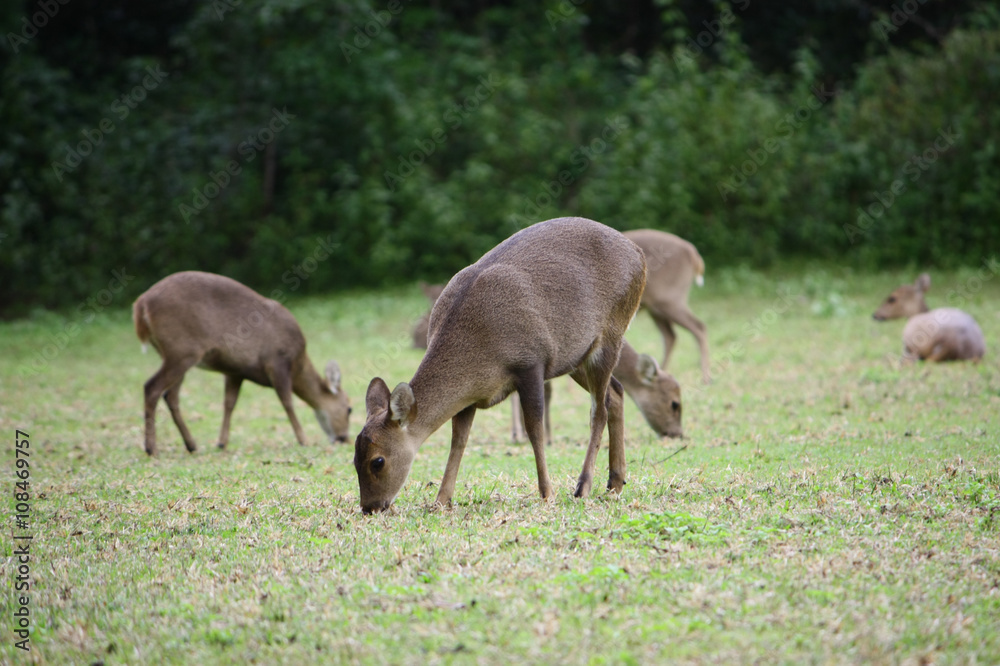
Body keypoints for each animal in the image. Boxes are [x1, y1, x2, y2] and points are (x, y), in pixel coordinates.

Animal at [133, 268, 352, 452]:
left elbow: (229, 403)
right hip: (181, 351)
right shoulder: (277, 361)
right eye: (349, 408)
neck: (298, 363)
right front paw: (303, 440)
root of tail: (141, 304)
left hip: (175, 354)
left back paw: (191, 445)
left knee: (171, 395)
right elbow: (287, 401)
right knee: (152, 387)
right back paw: (151, 448)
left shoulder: (235, 371)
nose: (344, 438)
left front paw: (221, 442)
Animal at [354, 215, 648, 510]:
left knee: (598, 409)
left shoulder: (531, 362)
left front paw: (547, 493)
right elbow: (459, 439)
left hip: (612, 331)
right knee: (616, 392)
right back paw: (615, 482)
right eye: (354, 460)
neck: (481, 358)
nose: (370, 507)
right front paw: (442, 499)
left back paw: (583, 485)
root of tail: (639, 255)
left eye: (377, 461)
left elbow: (535, 430)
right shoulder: (471, 397)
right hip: (575, 356)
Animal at [624, 230, 712, 382]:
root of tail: (692, 252)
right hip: (657, 307)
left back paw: (705, 377)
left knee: (698, 326)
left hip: (670, 299)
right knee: (670, 335)